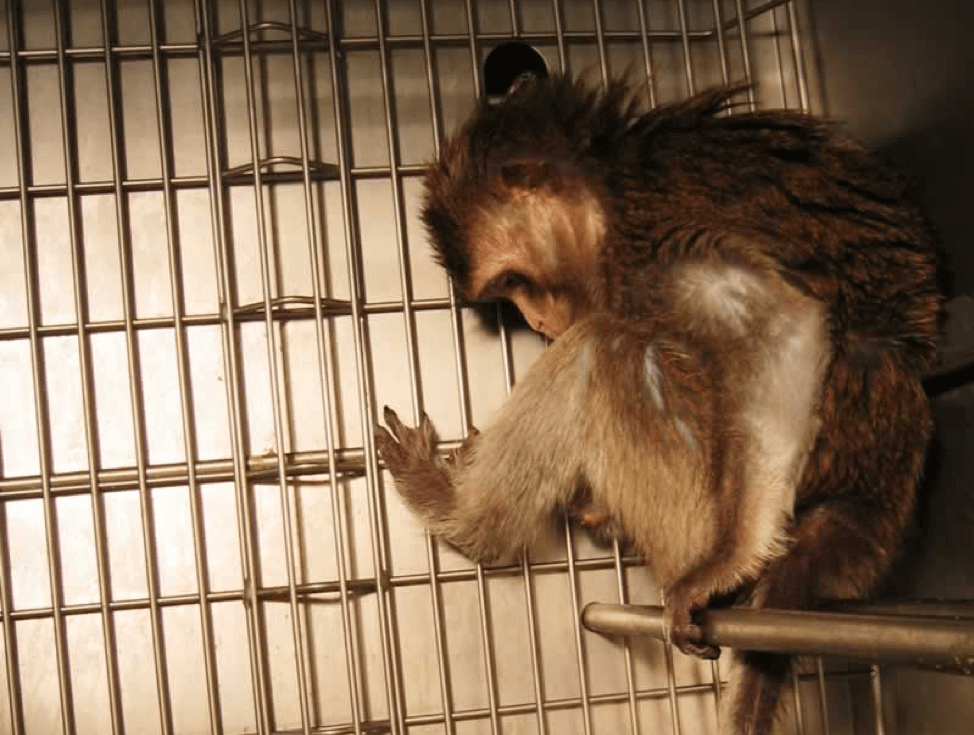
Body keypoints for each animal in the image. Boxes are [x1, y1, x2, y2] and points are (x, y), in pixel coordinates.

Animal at [374, 70, 936, 735]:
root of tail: (859, 510)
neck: (610, 184)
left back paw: (464, 518)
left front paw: (730, 562)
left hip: (695, 500)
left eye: (513, 283)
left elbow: (786, 323)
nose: (536, 322)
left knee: (604, 347)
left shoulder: (662, 244)